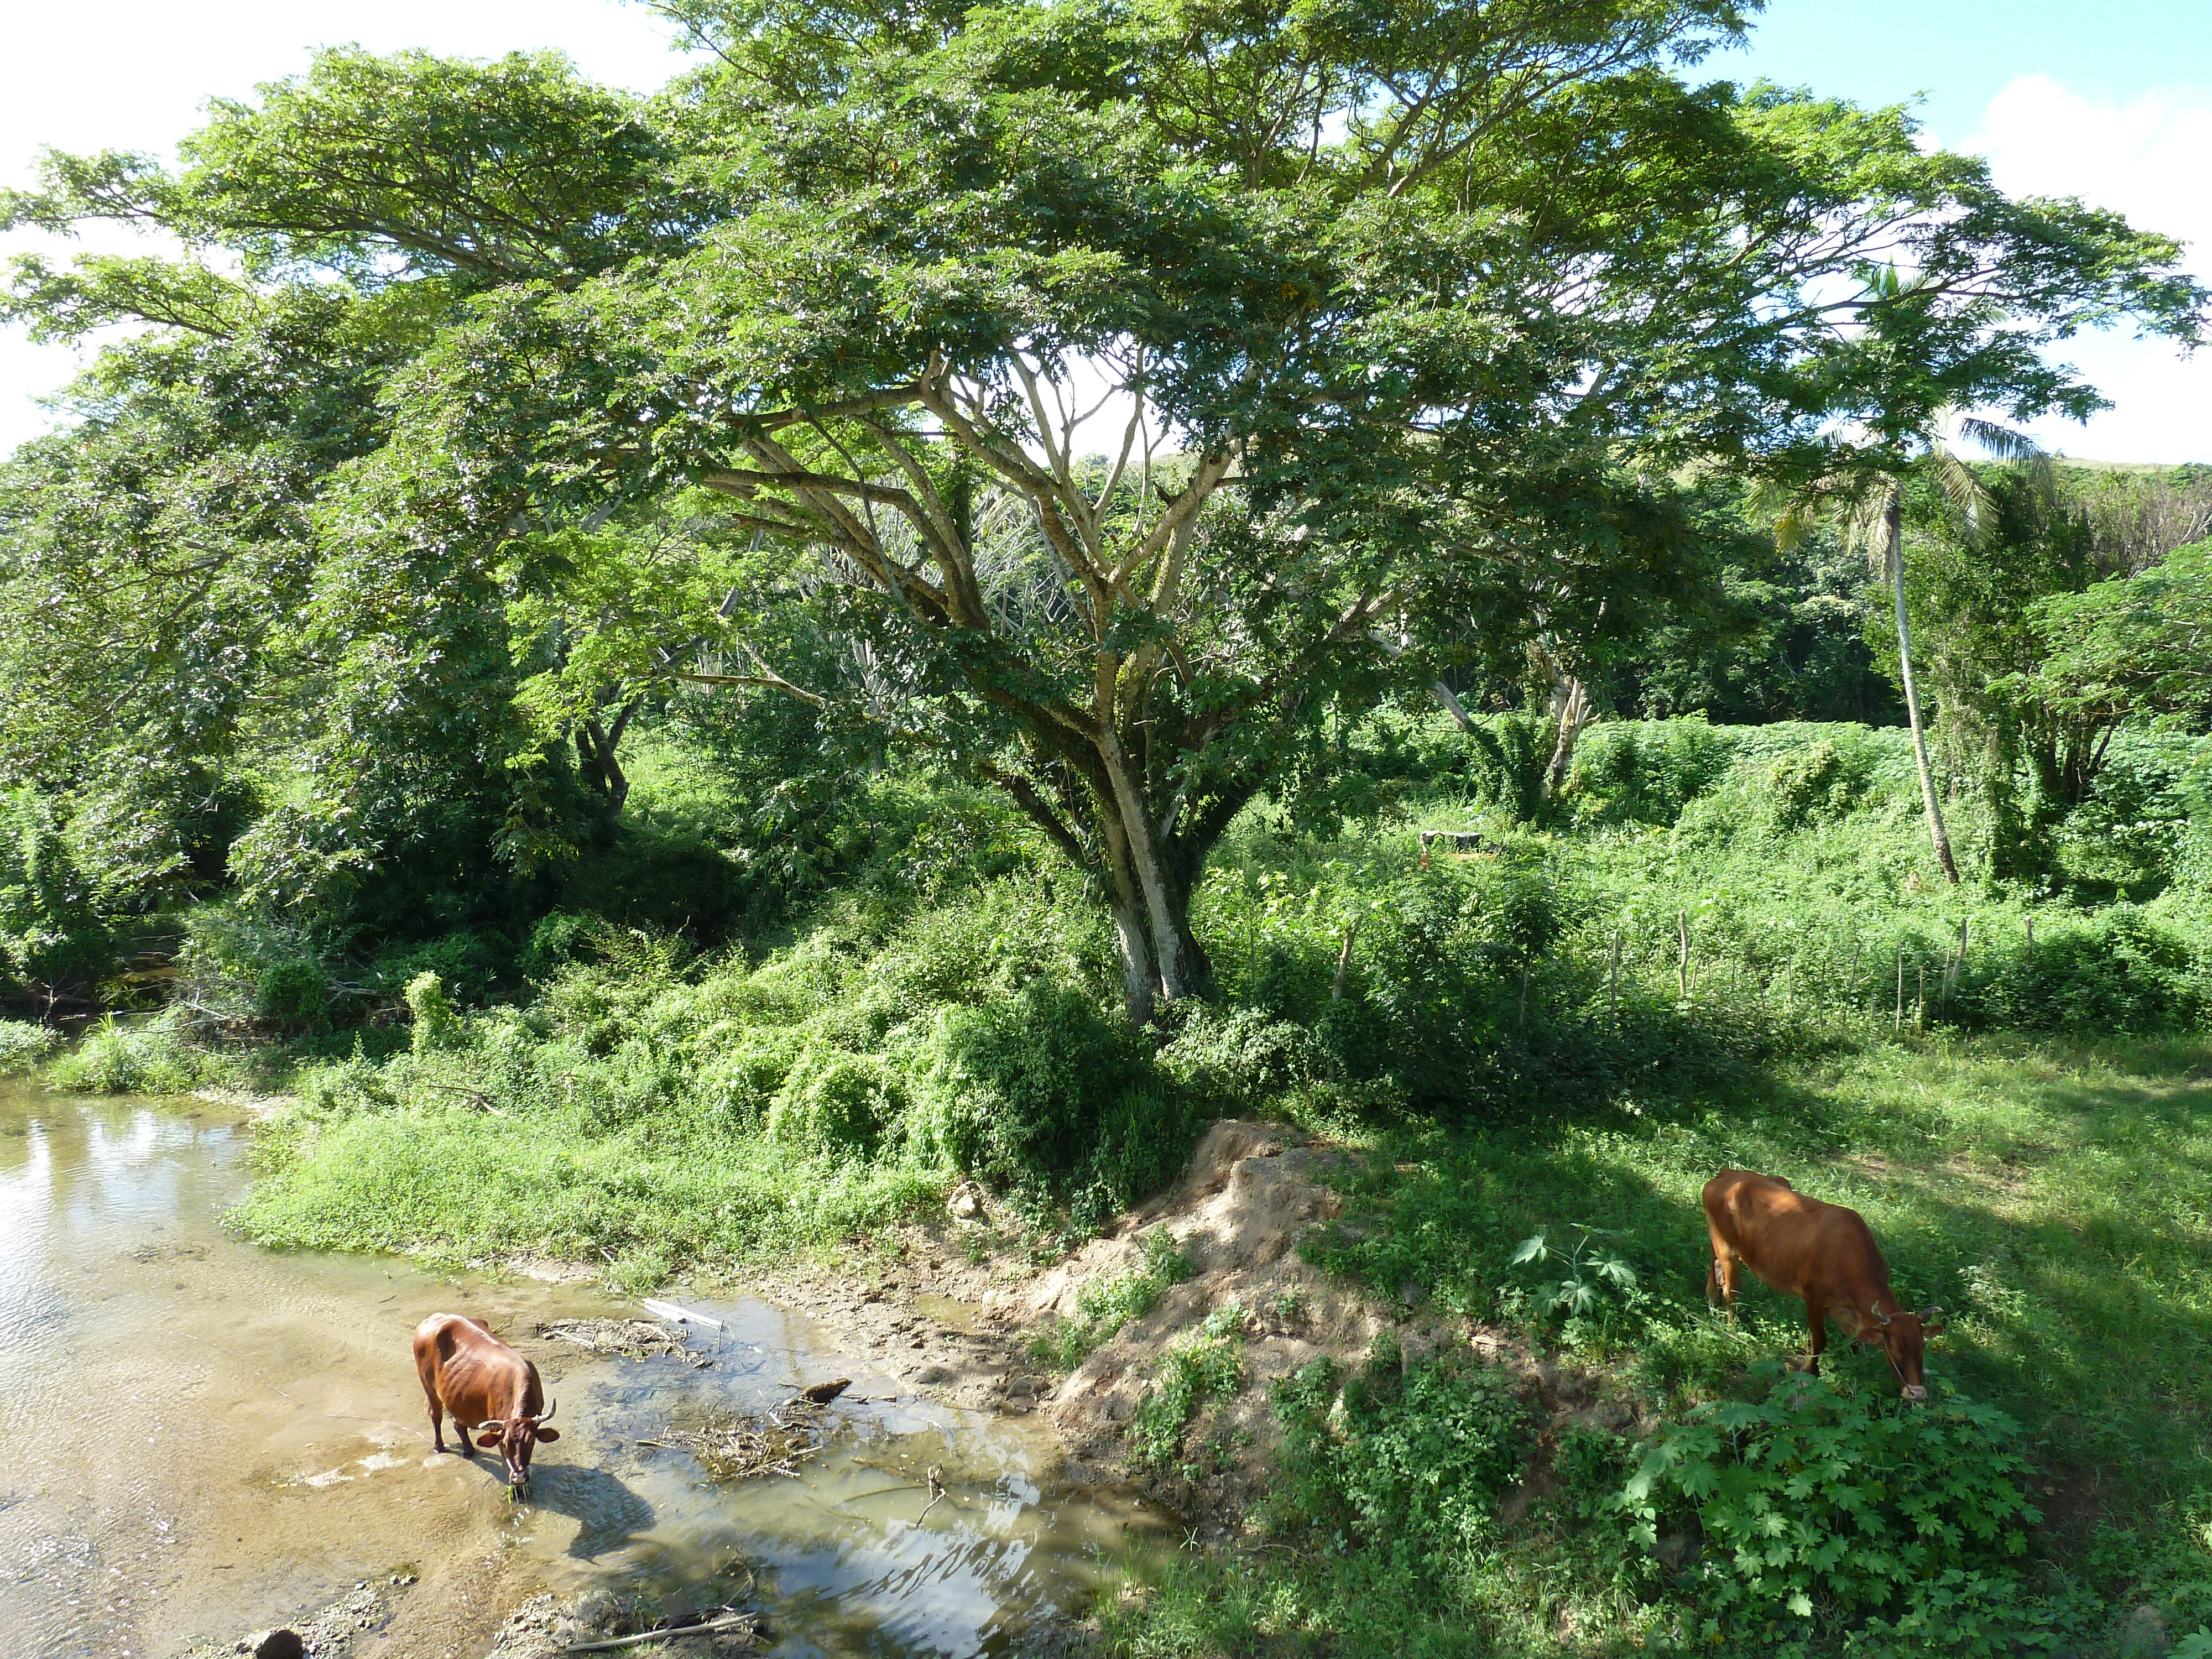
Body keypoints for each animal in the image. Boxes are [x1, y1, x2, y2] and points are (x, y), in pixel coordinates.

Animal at [414, 1318, 562, 1504]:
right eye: (505, 1444)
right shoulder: (496, 1429)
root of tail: (433, 1318)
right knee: (437, 1416)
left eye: (532, 1442)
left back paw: (469, 1450)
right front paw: (516, 1491)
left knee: (458, 1423)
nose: (520, 1477)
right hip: (428, 1386)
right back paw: (439, 1447)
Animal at [1699, 1168, 1947, 1407]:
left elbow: (1855, 1342)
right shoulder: (1814, 1300)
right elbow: (1819, 1342)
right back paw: (1732, 1327)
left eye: (1922, 1346)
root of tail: (1728, 1175)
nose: (1917, 1393)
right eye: (1894, 1346)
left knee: (1716, 1268)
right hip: (1727, 1249)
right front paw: (1812, 1373)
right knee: (1730, 1292)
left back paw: (1712, 1297)